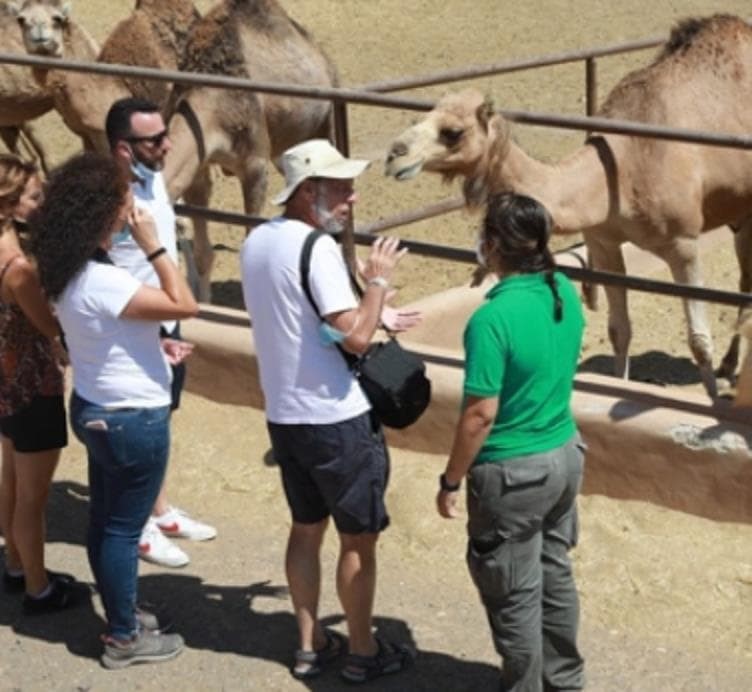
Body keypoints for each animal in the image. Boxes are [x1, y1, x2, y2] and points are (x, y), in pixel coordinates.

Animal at [388, 13, 752, 398]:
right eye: (419, 118)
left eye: (453, 132)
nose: (394, 156)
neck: (621, 169)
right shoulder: (603, 242)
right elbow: (619, 330)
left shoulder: (683, 243)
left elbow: (699, 340)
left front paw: (712, 399)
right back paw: (730, 365)